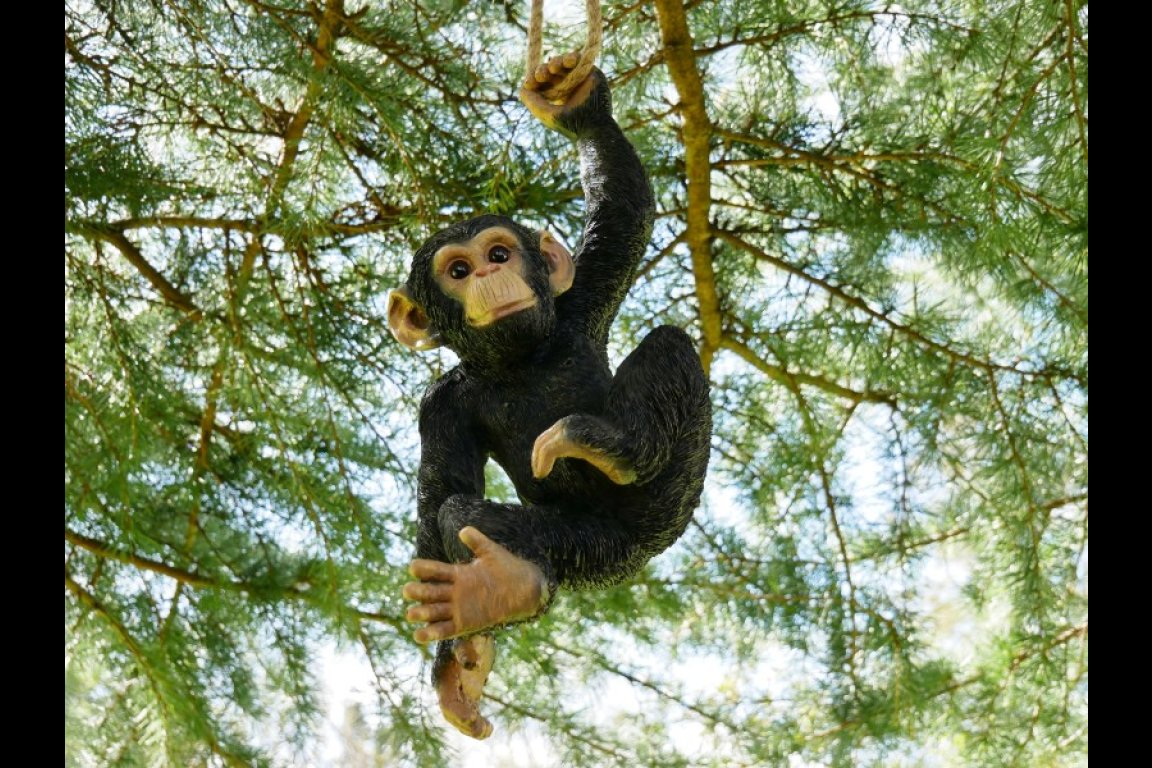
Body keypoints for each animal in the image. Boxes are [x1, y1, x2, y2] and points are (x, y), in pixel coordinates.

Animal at [387, 55, 711, 739]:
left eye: (499, 251)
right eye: (458, 271)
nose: (490, 273)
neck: (518, 363)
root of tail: (637, 550)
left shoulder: (580, 304)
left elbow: (624, 217)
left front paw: (575, 105)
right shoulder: (440, 406)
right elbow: (440, 492)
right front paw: (454, 671)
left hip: (671, 497)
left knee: (670, 344)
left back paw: (611, 444)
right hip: (588, 548)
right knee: (471, 516)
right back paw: (496, 593)